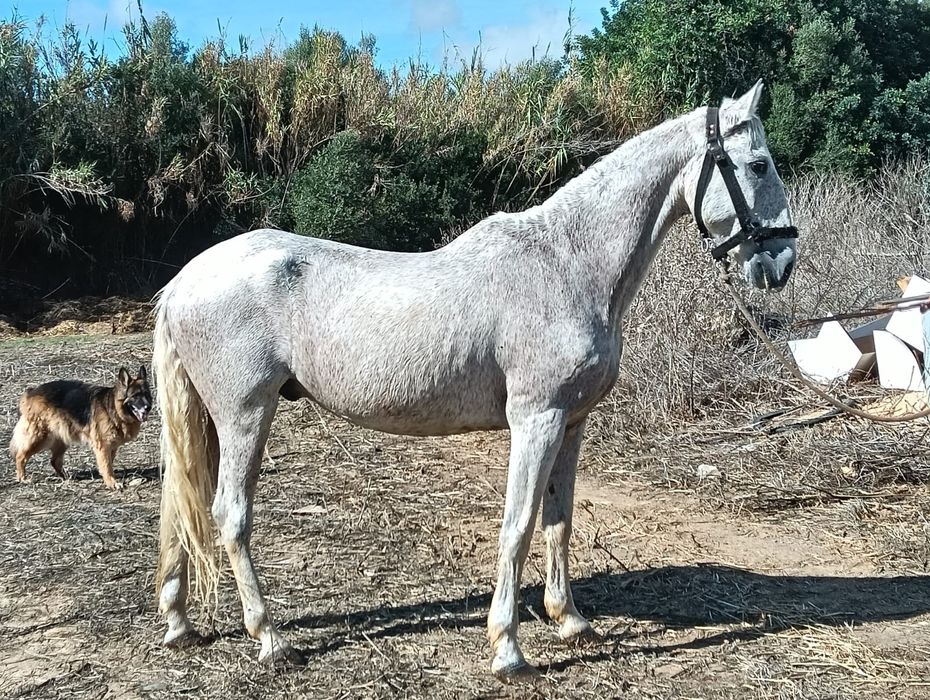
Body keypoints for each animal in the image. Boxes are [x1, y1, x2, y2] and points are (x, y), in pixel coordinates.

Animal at [153, 81, 797, 681]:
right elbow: (517, 527)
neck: (568, 262)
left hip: (207, 420)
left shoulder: (572, 422)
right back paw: (270, 637)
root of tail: (185, 279)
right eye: (759, 164)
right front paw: (508, 649)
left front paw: (569, 620)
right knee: (230, 514)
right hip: (245, 414)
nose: (782, 262)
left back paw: (179, 623)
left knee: (180, 505)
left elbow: (559, 521)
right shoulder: (536, 420)